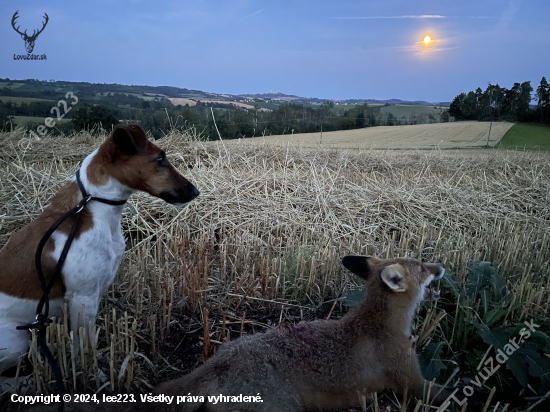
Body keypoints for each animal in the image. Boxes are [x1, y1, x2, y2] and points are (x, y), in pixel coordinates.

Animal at [0, 125, 198, 380]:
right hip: (16, 340)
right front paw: (93, 376)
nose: (195, 191)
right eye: (160, 159)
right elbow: (84, 348)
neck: (91, 208)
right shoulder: (83, 300)